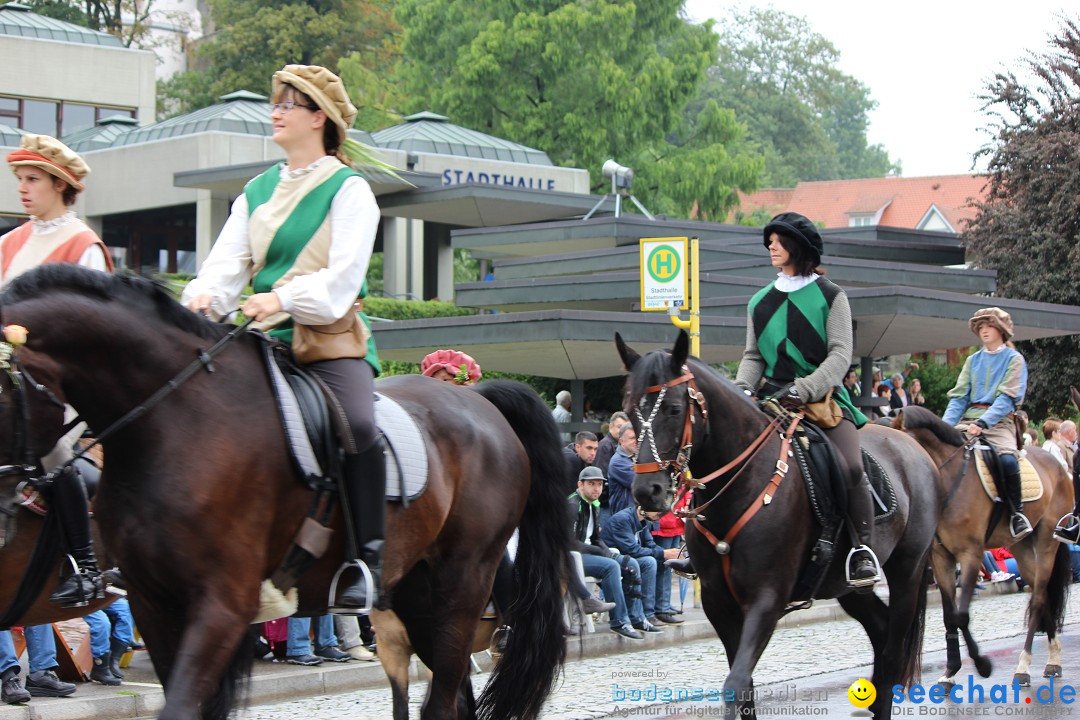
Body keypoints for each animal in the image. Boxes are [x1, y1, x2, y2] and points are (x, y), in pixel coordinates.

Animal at [0, 266, 574, 720]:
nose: (9, 502)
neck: (174, 422)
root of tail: (479, 400)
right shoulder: (153, 600)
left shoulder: (222, 603)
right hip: (413, 593)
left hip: (462, 585)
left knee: (443, 699)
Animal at [622, 334, 941, 720]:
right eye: (629, 411)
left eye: (671, 408)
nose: (647, 491)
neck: (742, 483)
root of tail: (911, 444)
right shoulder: (719, 603)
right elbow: (743, 686)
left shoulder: (766, 600)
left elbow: (736, 682)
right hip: (846, 587)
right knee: (880, 634)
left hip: (907, 571)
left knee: (893, 650)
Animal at [889, 405, 1075, 686]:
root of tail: (1059, 467)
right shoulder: (940, 557)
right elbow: (949, 616)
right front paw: (951, 670)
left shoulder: (970, 554)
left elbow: (961, 615)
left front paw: (981, 664)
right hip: (1021, 548)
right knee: (1039, 596)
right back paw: (1052, 660)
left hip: (1046, 544)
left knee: (1039, 597)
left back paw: (1024, 665)